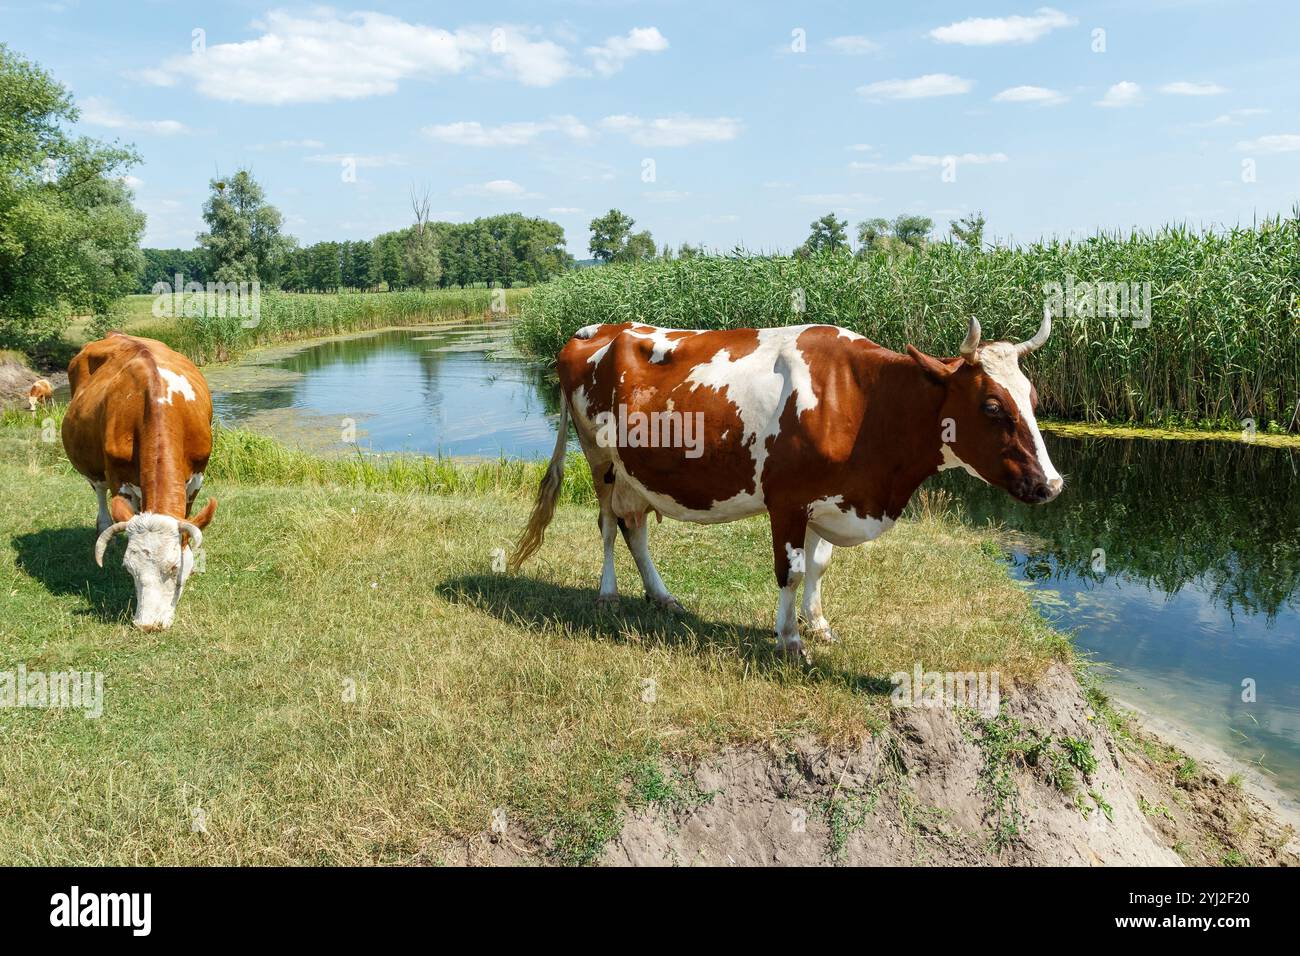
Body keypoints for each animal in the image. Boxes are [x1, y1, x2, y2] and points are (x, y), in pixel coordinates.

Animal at [61, 332, 217, 632]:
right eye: (129, 569)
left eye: (173, 567)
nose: (148, 624)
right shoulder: (118, 478)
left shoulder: (197, 476)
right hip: (94, 469)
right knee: (99, 495)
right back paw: (104, 527)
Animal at [504, 314, 1055, 658]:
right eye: (991, 406)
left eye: (1032, 398)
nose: (1051, 484)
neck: (865, 400)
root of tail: (596, 329)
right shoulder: (786, 500)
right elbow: (790, 571)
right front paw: (790, 641)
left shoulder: (825, 501)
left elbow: (819, 565)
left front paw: (819, 624)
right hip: (601, 461)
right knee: (607, 524)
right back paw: (608, 593)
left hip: (637, 473)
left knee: (635, 526)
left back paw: (663, 597)